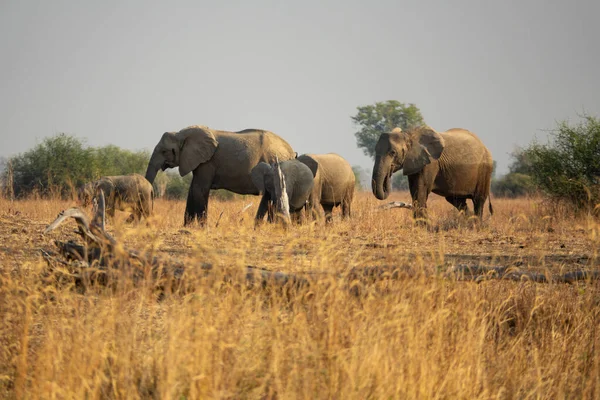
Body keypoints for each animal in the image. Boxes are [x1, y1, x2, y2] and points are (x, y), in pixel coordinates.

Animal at [145, 125, 296, 225]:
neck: (181, 134)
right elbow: (193, 190)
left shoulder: (207, 162)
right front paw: (187, 228)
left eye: (164, 151)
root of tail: (291, 151)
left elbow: (199, 189)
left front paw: (201, 228)